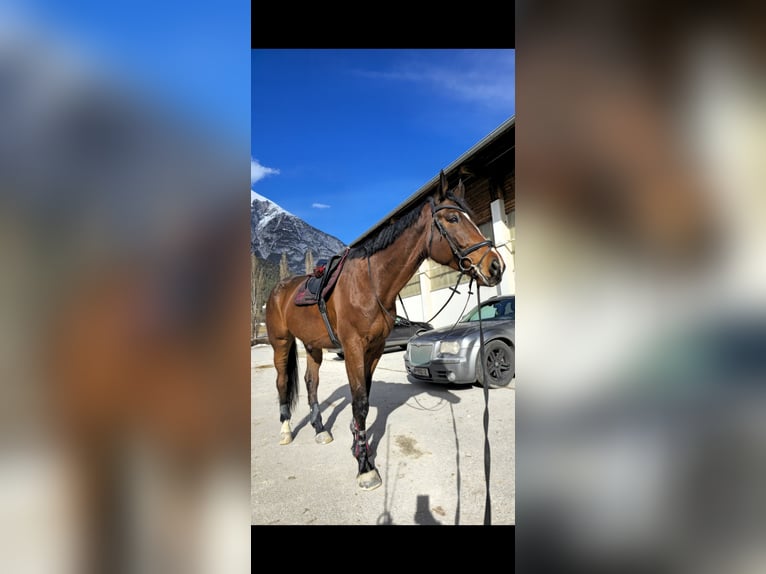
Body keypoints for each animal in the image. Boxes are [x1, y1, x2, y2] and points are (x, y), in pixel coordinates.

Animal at [265, 171, 506, 490]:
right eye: (453, 218)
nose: (496, 266)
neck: (371, 284)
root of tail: (278, 290)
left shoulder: (375, 348)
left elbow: (364, 398)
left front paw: (358, 446)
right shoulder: (353, 348)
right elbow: (360, 402)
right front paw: (365, 466)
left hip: (312, 346)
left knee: (310, 382)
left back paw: (320, 429)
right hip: (280, 342)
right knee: (282, 382)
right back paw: (285, 430)